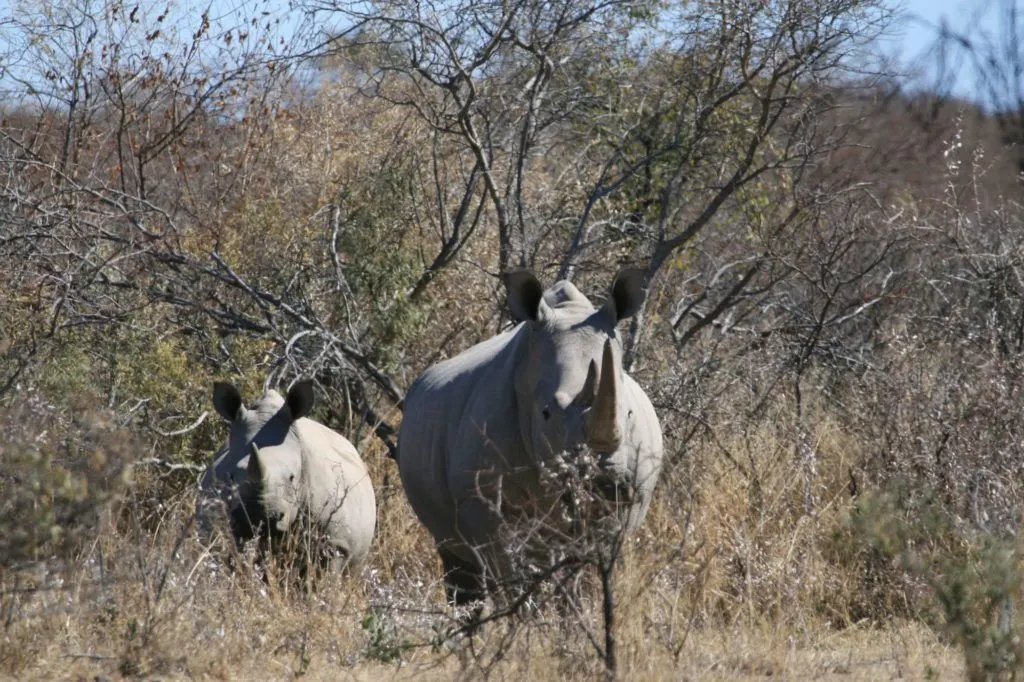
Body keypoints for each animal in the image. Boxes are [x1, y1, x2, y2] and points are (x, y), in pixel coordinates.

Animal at [396, 268, 664, 606]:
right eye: (546, 413)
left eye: (628, 414)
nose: (606, 480)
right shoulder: (479, 498)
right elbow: (508, 570)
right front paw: (522, 613)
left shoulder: (627, 500)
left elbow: (592, 566)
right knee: (459, 557)